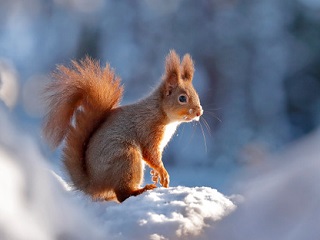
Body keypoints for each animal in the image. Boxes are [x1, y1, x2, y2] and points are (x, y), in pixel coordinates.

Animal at [43, 50, 202, 202]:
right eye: (182, 98)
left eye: (197, 95)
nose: (199, 112)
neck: (161, 111)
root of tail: (94, 183)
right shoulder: (148, 129)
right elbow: (150, 154)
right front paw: (163, 172)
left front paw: (155, 174)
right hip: (126, 158)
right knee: (123, 194)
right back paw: (141, 190)